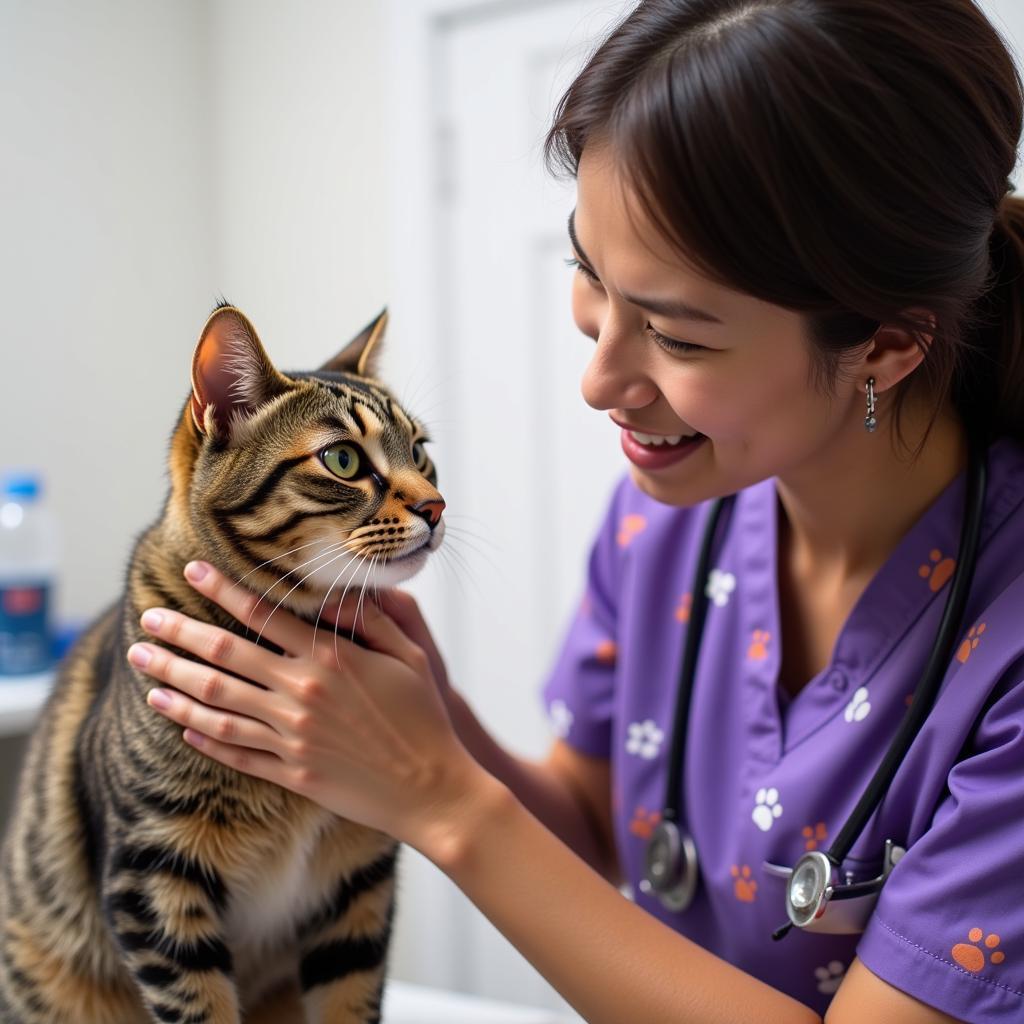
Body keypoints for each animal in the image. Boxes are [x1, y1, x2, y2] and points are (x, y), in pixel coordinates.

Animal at [0, 305, 444, 1024]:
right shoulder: (153, 873)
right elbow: (198, 1005)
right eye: (343, 459)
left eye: (422, 451)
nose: (436, 504)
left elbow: (350, 1000)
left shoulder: (359, 878)